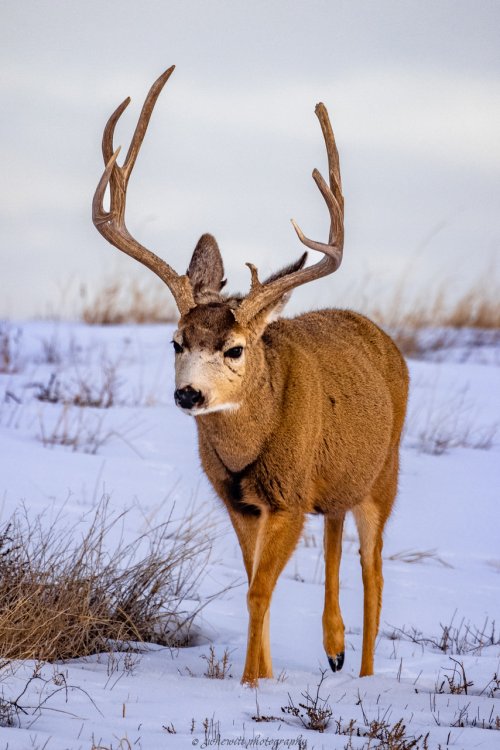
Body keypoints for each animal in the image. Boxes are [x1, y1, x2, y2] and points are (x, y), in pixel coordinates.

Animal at [94, 67, 410, 692]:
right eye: (176, 342)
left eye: (235, 348)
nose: (187, 393)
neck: (248, 446)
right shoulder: (239, 501)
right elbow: (251, 583)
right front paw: (261, 675)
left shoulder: (286, 496)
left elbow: (260, 591)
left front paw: (247, 685)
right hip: (334, 477)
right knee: (334, 525)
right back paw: (333, 648)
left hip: (383, 474)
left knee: (374, 573)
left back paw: (362, 674)